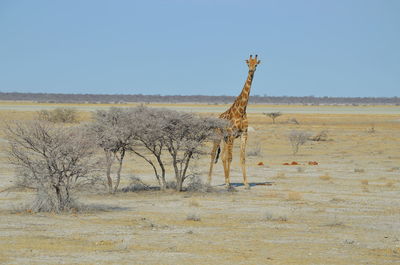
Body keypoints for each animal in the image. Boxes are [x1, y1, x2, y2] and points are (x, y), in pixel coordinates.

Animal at [208, 53, 260, 188]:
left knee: (222, 156)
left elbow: (242, 158)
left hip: (225, 139)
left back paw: (226, 180)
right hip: (218, 137)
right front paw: (229, 184)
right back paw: (209, 181)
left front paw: (246, 184)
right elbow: (230, 158)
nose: (251, 71)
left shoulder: (243, 134)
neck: (241, 110)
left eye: (256, 64)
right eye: (248, 63)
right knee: (213, 154)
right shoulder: (232, 134)